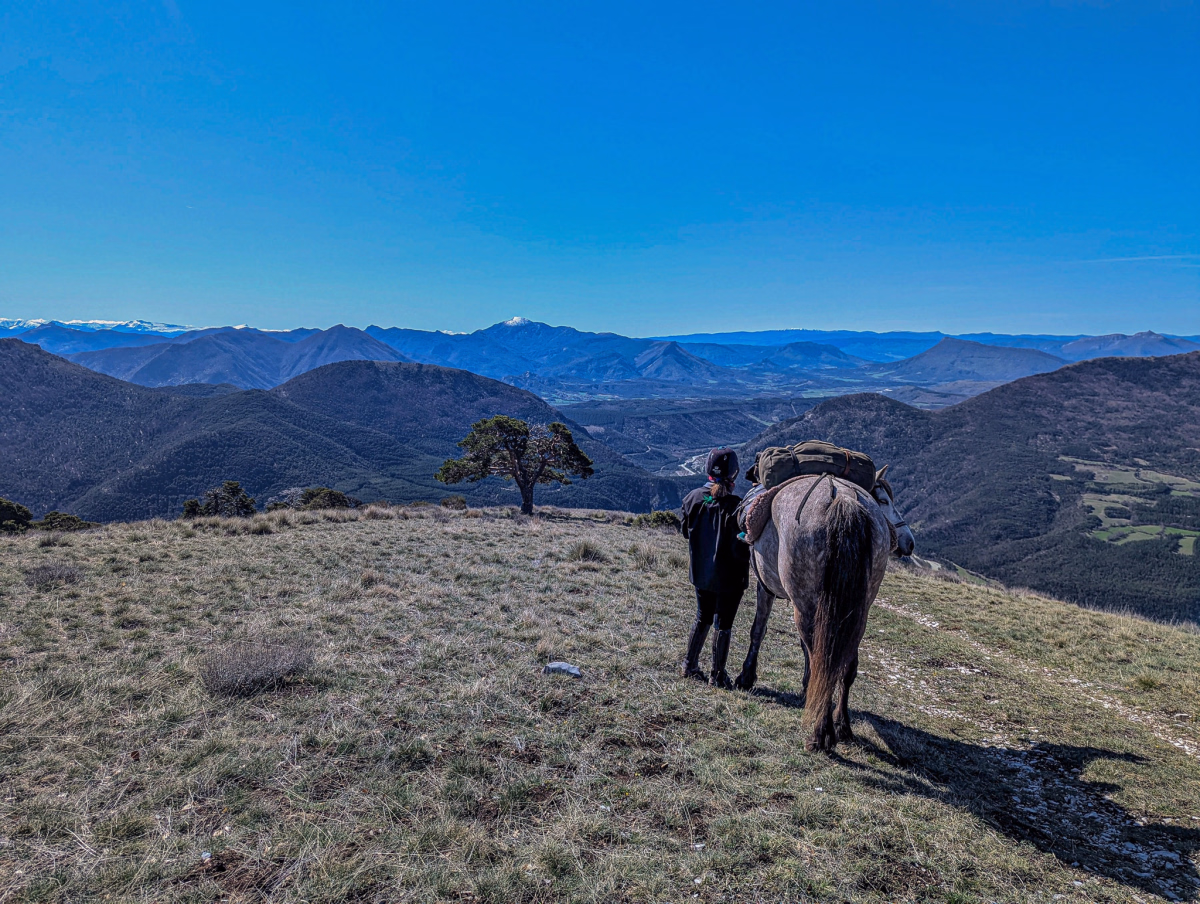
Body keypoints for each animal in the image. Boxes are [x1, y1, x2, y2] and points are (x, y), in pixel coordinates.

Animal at [733, 467, 915, 752]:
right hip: (857, 612)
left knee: (823, 659)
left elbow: (758, 631)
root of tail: (843, 499)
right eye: (884, 500)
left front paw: (747, 676)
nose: (909, 542)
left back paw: (820, 734)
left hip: (807, 606)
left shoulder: (768, 587)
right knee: (844, 663)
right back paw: (842, 726)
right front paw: (807, 688)